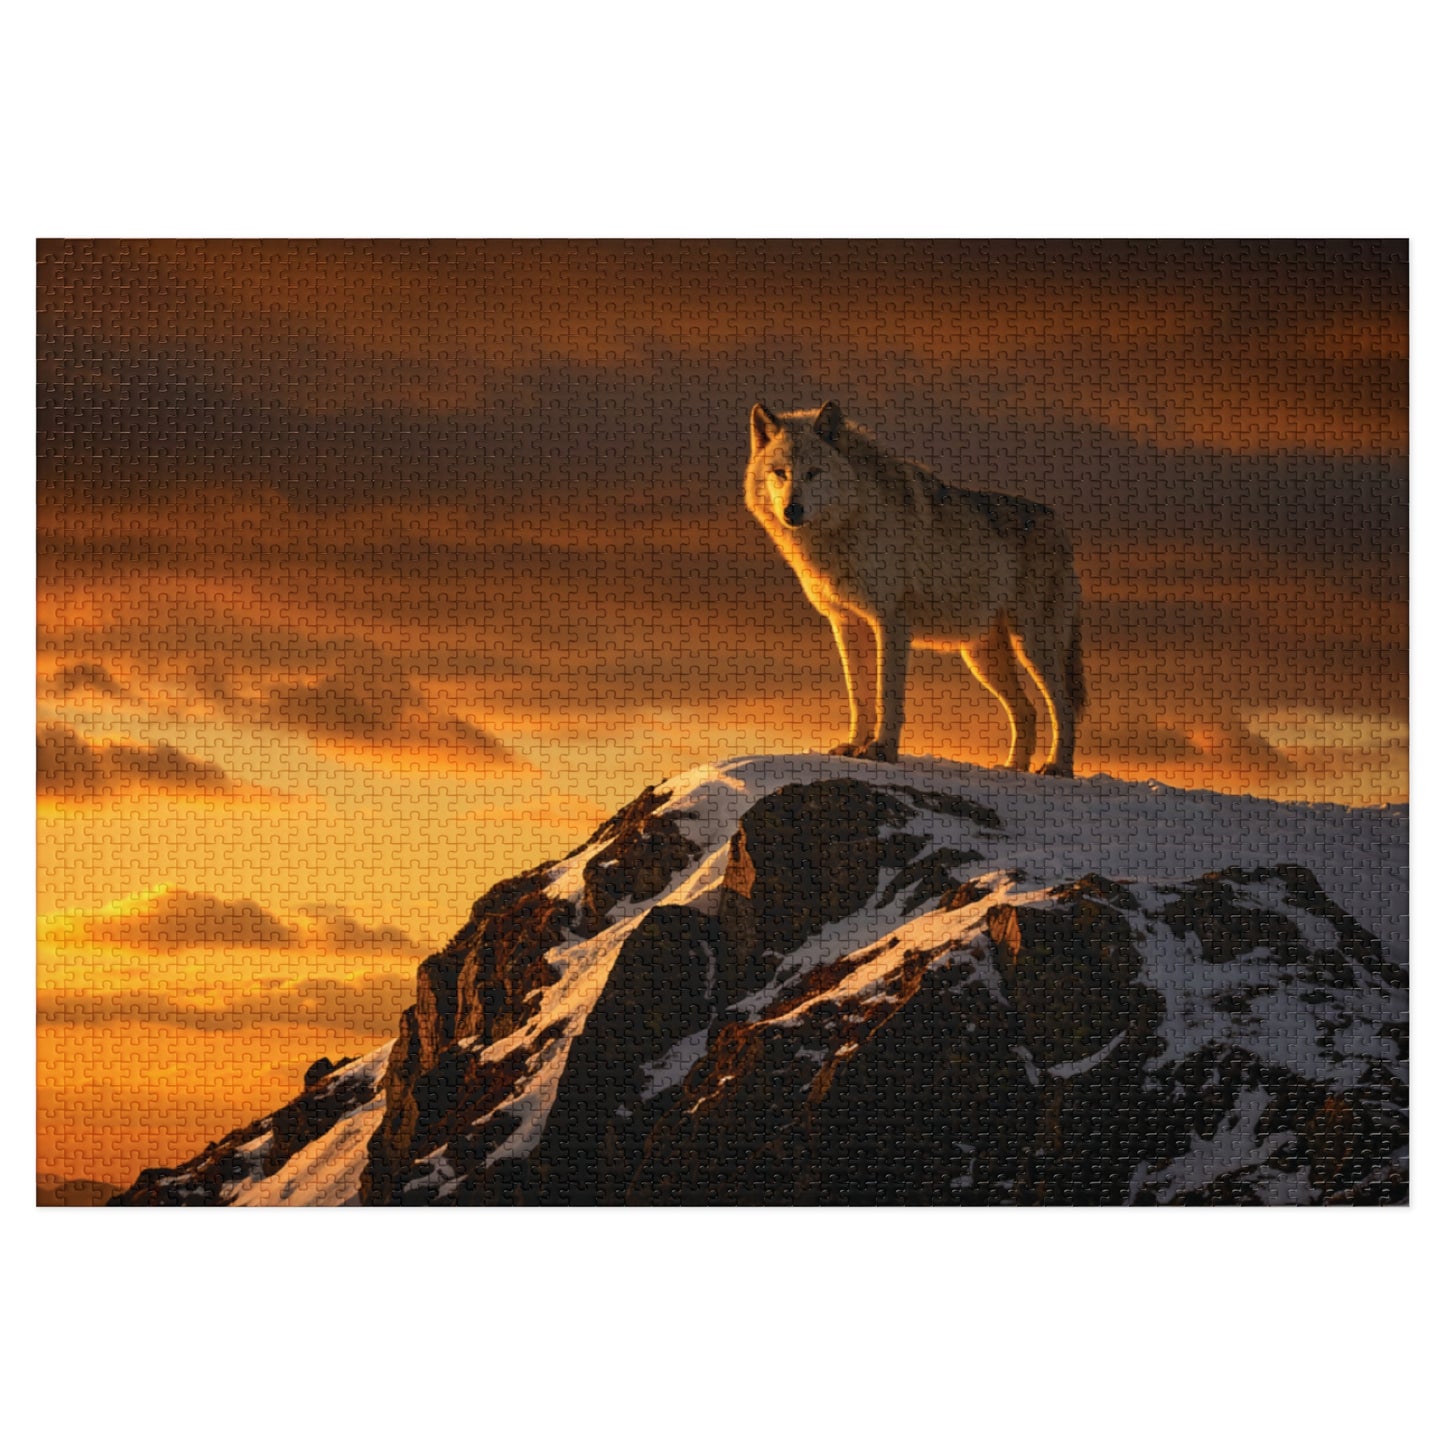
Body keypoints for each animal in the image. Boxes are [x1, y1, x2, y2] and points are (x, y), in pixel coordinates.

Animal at [744, 402, 1085, 774]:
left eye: (814, 473)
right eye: (780, 472)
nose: (792, 509)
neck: (846, 527)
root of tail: (1060, 526)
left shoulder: (891, 621)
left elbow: (886, 695)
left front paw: (881, 750)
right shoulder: (846, 623)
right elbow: (859, 696)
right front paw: (853, 746)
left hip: (1032, 645)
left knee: (1065, 707)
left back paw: (1057, 768)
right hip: (983, 657)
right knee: (1027, 711)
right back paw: (1011, 769)